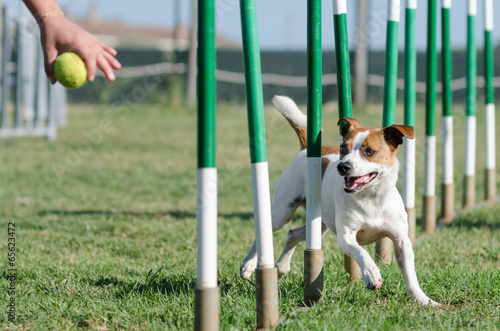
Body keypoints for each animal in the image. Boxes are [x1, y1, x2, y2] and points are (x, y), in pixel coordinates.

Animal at [240, 94, 440, 308]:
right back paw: (248, 265)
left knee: (293, 233)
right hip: (283, 211)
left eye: (369, 151)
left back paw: (282, 266)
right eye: (344, 148)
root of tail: (305, 149)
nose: (342, 166)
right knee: (266, 230)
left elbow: (410, 274)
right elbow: (362, 253)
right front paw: (372, 274)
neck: (371, 198)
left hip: (319, 224)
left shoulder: (401, 240)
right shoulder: (346, 236)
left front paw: (424, 299)